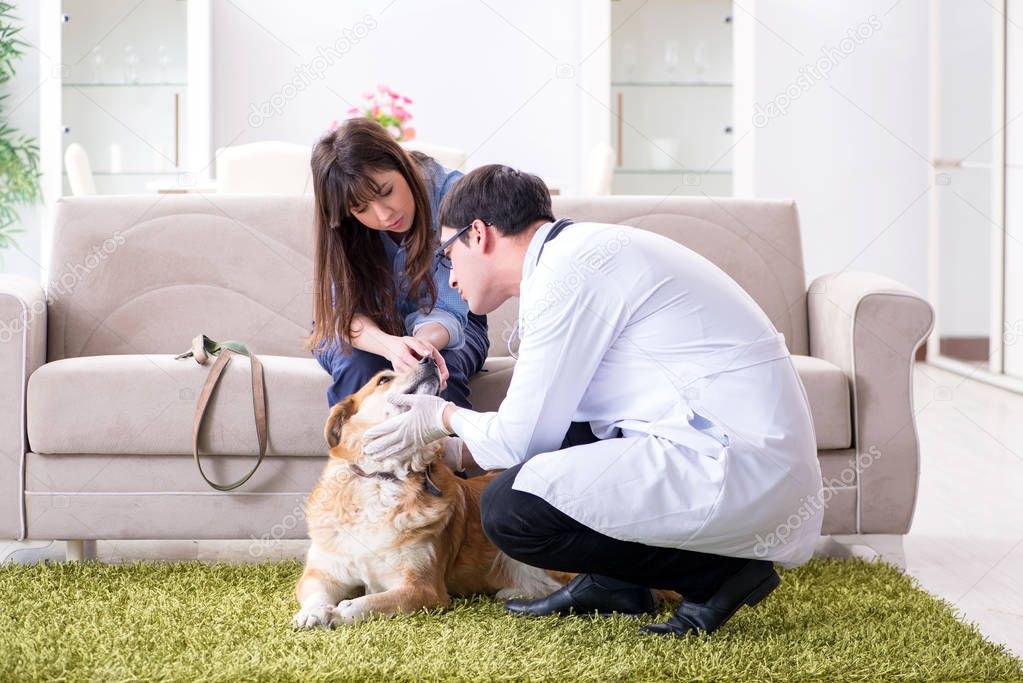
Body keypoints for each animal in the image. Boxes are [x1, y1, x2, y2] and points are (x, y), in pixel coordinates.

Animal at [294, 357, 568, 629]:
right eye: (384, 379)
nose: (428, 358)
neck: (382, 480)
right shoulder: (322, 573)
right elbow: (315, 591)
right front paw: (314, 611)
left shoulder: (422, 588)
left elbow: (369, 603)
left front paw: (341, 612)